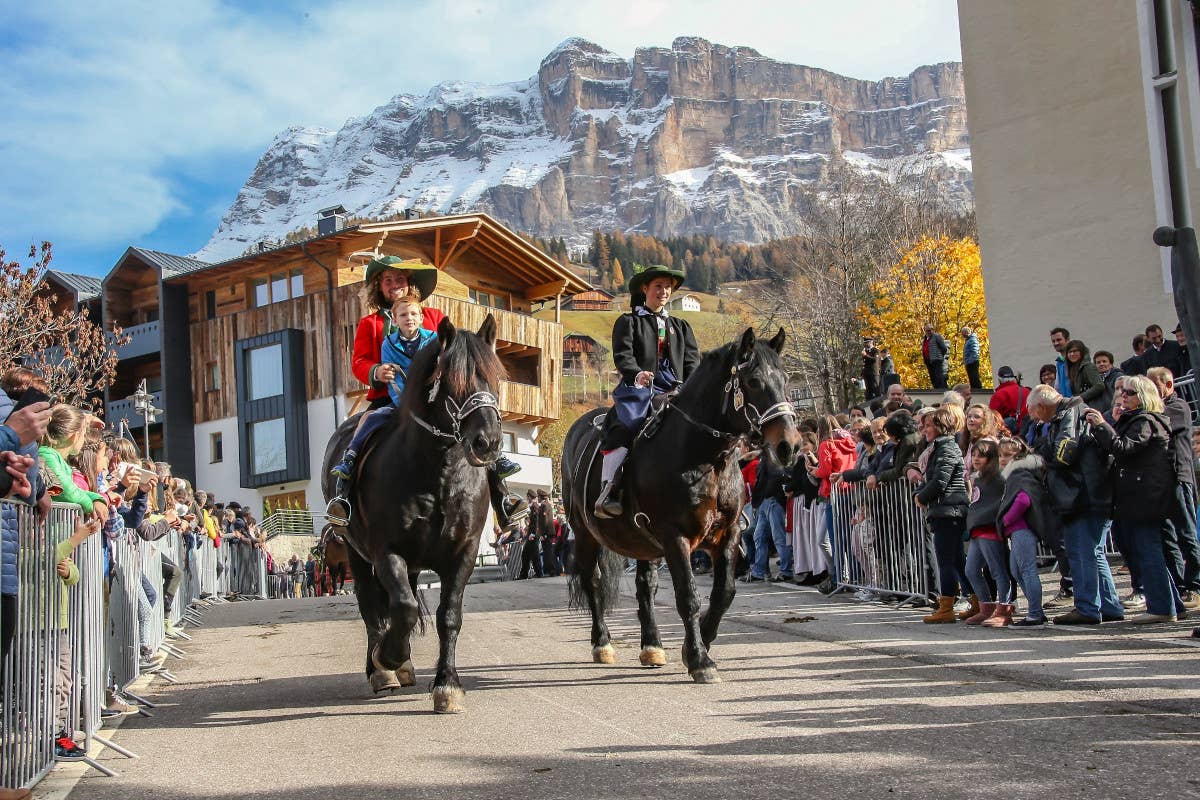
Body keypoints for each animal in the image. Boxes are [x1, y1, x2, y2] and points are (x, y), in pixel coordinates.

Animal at [321, 314, 504, 714]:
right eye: (452, 379)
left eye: (494, 377)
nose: (489, 442)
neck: (439, 475)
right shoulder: (385, 551)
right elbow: (402, 607)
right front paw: (388, 657)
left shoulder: (464, 553)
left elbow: (448, 616)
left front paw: (447, 685)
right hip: (356, 555)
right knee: (372, 606)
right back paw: (383, 670)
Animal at [561, 328, 796, 686]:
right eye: (754, 381)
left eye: (785, 378)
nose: (789, 446)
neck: (705, 458)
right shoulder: (675, 537)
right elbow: (688, 597)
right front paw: (700, 659)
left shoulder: (727, 536)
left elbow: (723, 594)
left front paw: (698, 646)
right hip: (586, 534)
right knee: (594, 582)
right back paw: (602, 644)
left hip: (642, 544)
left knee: (645, 587)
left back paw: (652, 646)